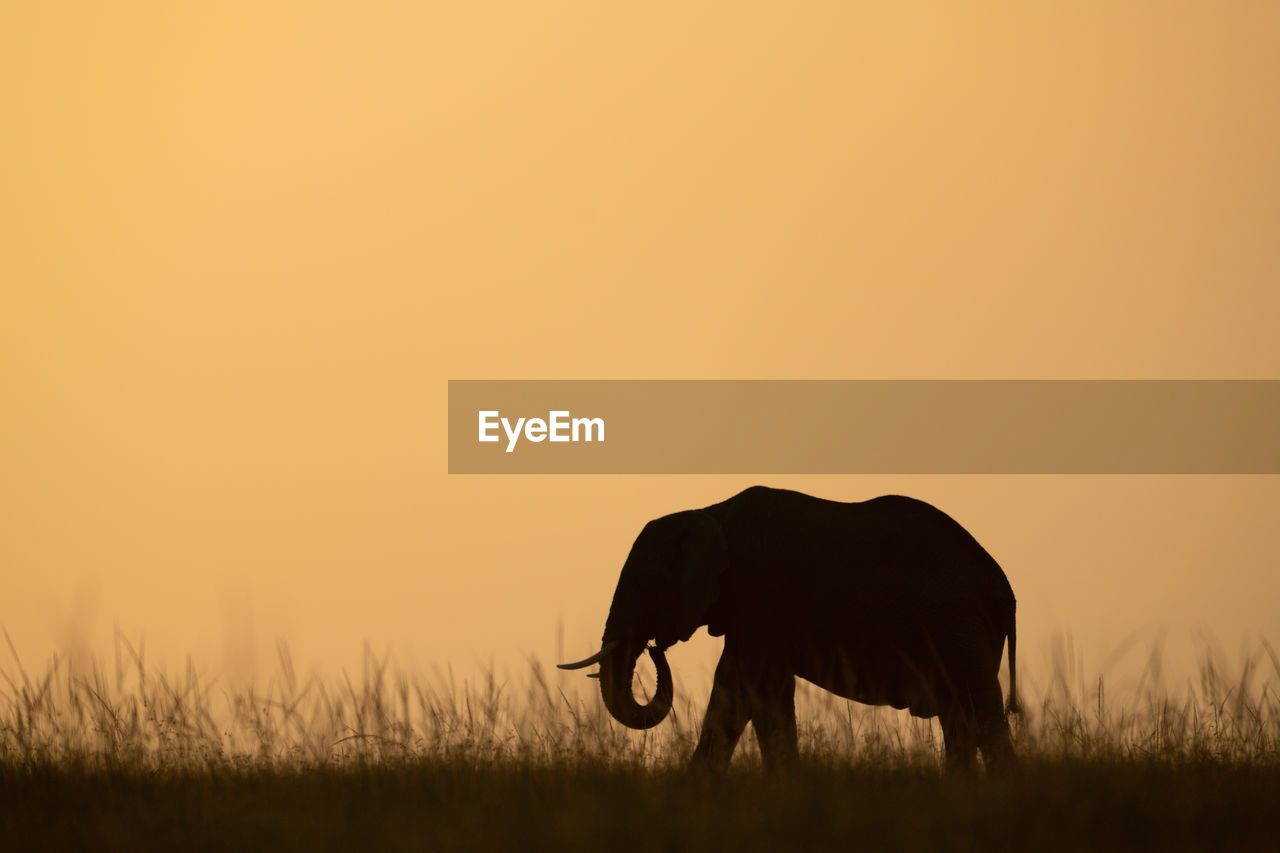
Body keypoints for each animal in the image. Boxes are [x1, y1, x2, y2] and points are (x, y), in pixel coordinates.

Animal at [560, 484, 1018, 768]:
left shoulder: (762, 597)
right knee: (961, 719)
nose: (655, 648)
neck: (710, 512)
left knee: (980, 714)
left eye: (641, 581)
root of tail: (1006, 590)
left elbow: (759, 691)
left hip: (960, 625)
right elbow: (734, 694)